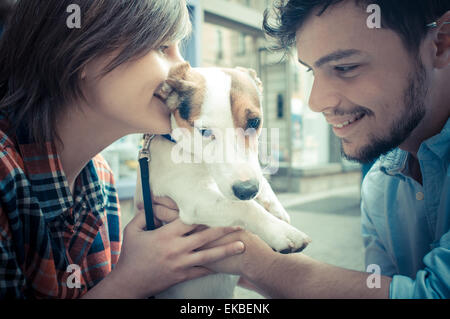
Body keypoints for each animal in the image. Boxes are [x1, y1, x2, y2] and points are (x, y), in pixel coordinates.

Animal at [134, 63, 310, 300]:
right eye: (205, 132)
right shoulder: (196, 200)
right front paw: (282, 231)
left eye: (254, 122)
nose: (247, 191)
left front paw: (275, 207)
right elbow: (246, 208)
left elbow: (261, 182)